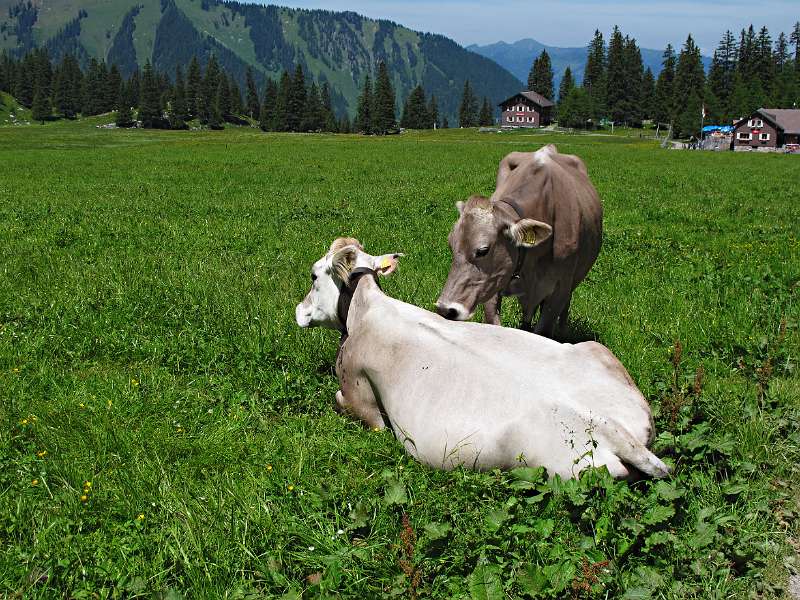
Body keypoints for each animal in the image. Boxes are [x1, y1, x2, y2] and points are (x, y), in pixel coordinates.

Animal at [294, 239, 668, 478]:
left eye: (313, 275)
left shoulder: (359, 396)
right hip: (596, 350)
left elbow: (348, 404)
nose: (298, 311)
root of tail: (611, 428)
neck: (367, 308)